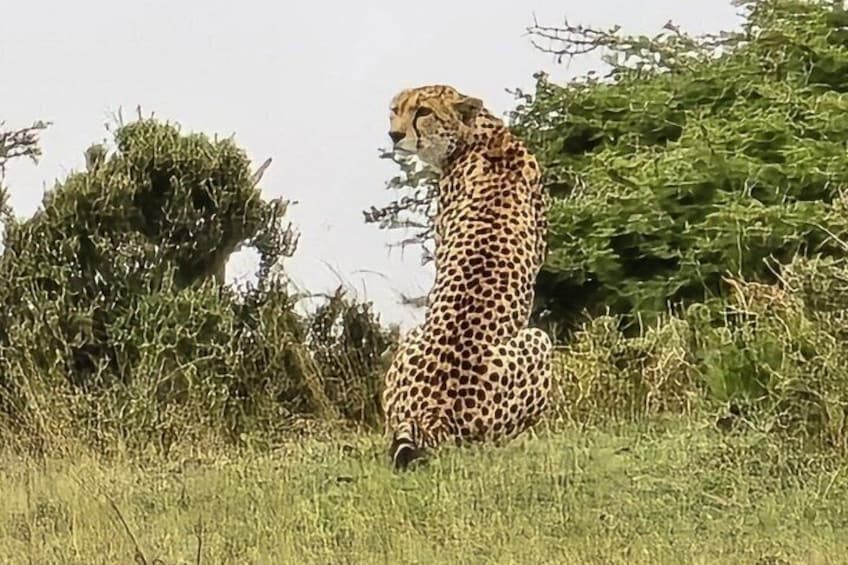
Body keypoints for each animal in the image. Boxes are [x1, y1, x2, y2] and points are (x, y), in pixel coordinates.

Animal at [382, 84, 553, 470]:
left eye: (423, 112)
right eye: (396, 110)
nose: (395, 135)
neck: (481, 136)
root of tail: (434, 409)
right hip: (536, 341)